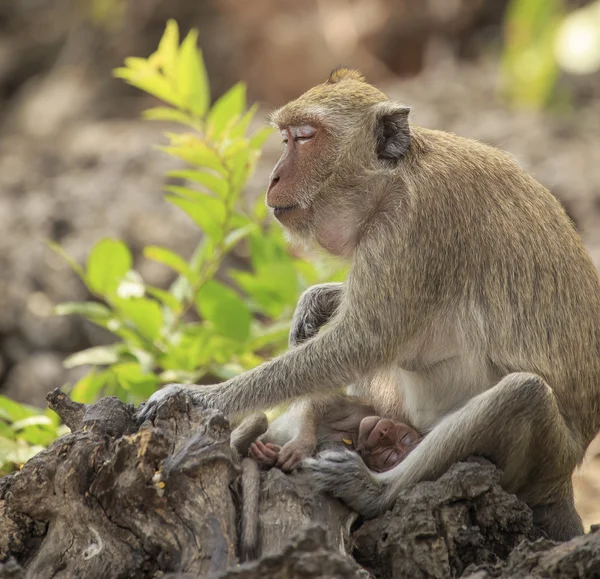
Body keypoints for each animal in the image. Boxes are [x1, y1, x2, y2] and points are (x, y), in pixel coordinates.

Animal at [138, 69, 600, 544]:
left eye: (305, 137)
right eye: (285, 138)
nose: (274, 177)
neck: (394, 177)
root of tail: (564, 479)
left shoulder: (413, 225)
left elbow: (364, 343)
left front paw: (199, 395)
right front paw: (315, 302)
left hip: (541, 456)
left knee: (522, 394)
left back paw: (372, 489)